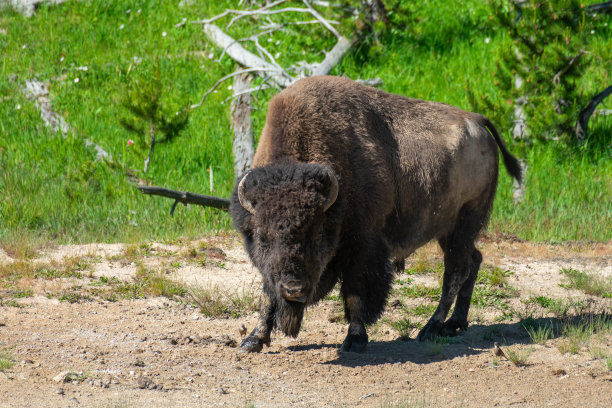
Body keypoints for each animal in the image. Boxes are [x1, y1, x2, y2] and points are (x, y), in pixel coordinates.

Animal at [230, 76, 520, 354]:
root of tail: (478, 121)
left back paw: (431, 329)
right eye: (263, 238)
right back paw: (455, 324)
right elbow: (266, 295)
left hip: (465, 220)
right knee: (473, 260)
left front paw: (355, 340)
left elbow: (356, 295)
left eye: (317, 235)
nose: (294, 289)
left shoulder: (364, 246)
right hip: (450, 230)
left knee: (455, 272)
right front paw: (252, 340)